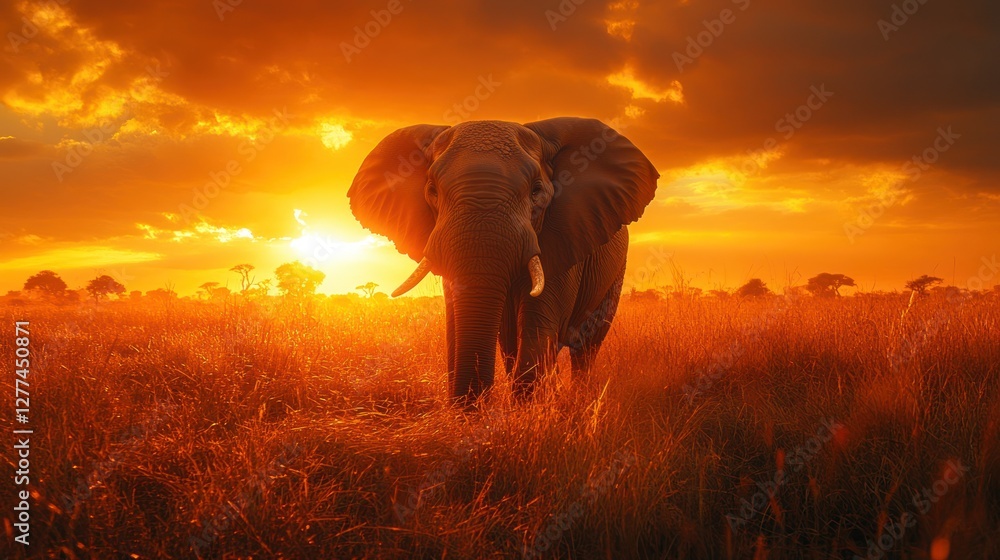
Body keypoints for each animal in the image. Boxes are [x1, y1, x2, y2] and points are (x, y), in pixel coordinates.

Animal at [348, 117, 659, 406]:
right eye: (432, 190)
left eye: (536, 191)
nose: (472, 410)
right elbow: (458, 325)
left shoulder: (564, 235)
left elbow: (537, 324)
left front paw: (526, 415)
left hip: (615, 272)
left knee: (585, 346)